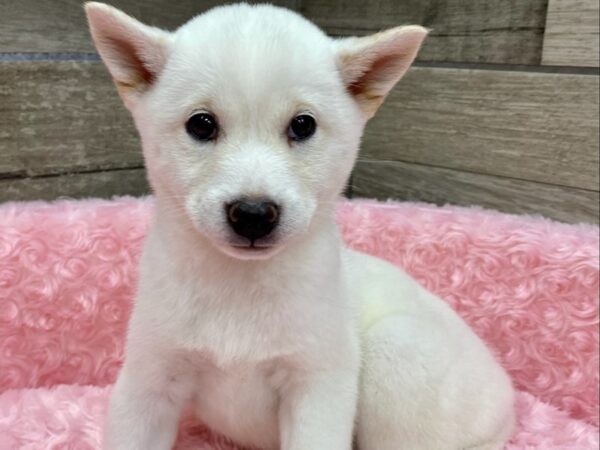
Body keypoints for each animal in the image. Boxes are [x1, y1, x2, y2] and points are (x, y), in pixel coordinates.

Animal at [84, 1, 516, 448]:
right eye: (201, 124)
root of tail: (509, 401)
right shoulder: (150, 377)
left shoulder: (317, 385)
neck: (239, 286)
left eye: (303, 125)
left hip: (398, 354)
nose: (253, 213)